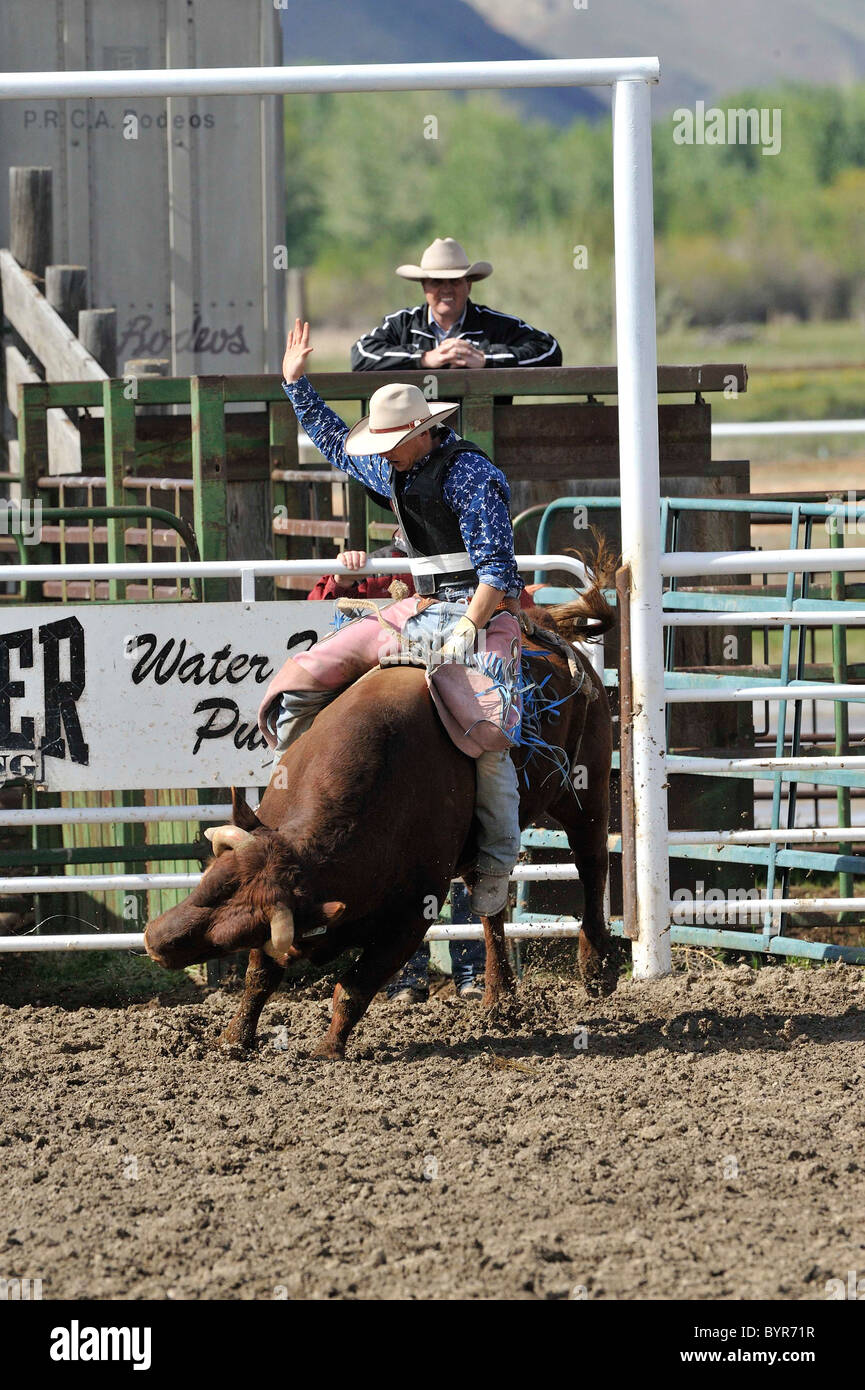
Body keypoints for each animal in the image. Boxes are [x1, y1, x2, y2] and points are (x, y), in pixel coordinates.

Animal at [143, 587, 620, 1059]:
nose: (153, 941)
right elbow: (260, 977)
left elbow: (354, 986)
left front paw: (328, 1049)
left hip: (586, 785)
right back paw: (499, 999)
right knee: (490, 904)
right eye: (208, 883)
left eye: (228, 940)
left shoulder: (412, 914)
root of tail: (545, 627)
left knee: (592, 862)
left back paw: (596, 967)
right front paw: (233, 1039)